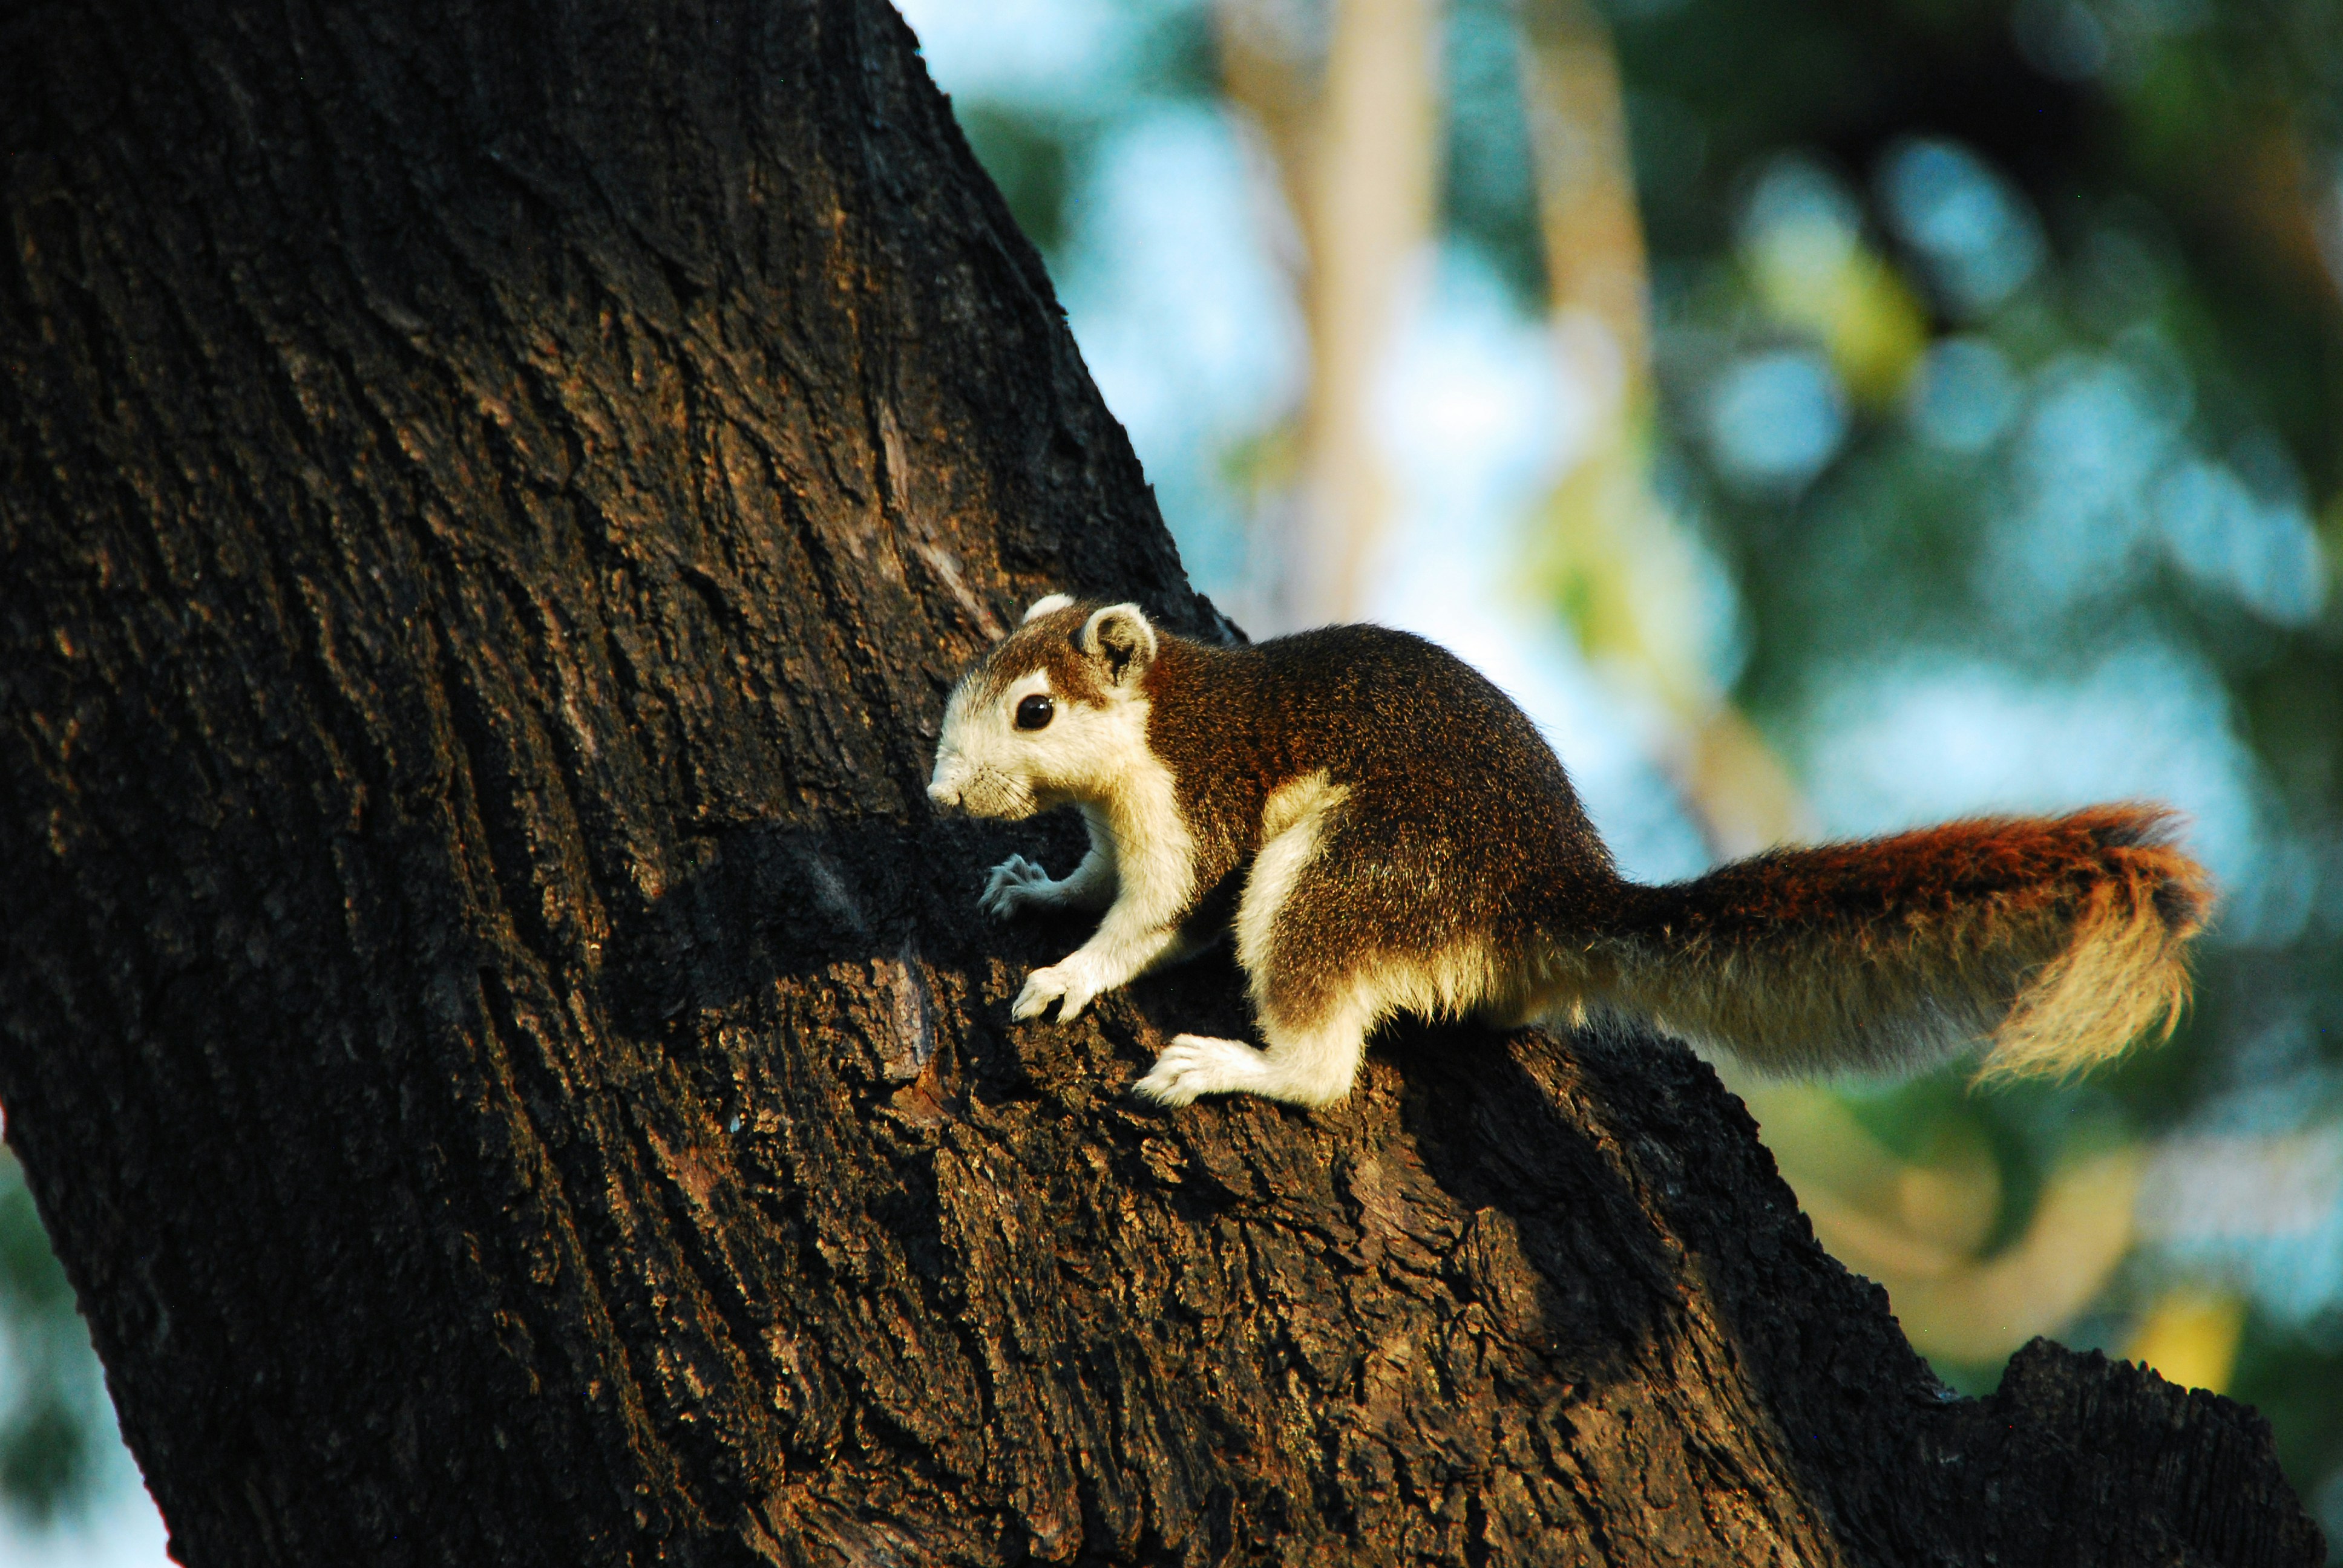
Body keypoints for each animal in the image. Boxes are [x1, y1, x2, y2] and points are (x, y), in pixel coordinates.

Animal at [926, 594, 2214, 1110]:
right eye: (971, 676)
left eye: (1035, 710)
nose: (940, 790)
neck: (1159, 723)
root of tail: (1548, 892)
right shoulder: (1117, 826)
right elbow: (1095, 882)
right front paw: (1033, 887)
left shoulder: (1198, 809)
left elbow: (1158, 917)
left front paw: (1069, 974)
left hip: (1348, 873)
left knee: (1324, 1059)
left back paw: (1232, 1065)